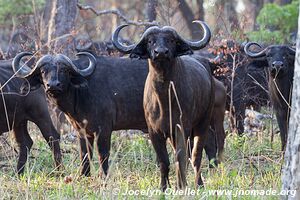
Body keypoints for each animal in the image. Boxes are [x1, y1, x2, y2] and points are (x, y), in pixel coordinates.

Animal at [112, 20, 213, 189]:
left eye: (171, 40)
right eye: (150, 41)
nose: (160, 53)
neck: (165, 98)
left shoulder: (181, 128)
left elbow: (180, 157)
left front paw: (180, 185)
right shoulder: (154, 132)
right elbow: (163, 161)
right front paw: (164, 187)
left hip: (203, 123)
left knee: (195, 156)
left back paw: (199, 184)